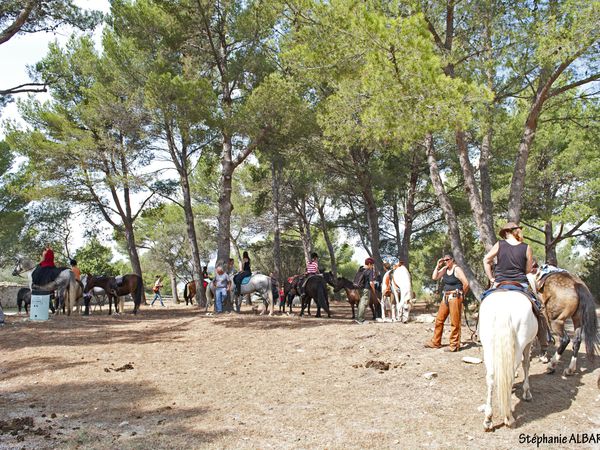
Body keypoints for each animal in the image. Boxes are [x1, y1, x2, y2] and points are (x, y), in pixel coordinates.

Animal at [480, 290, 536, 430]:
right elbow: (526, 364)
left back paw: (488, 419)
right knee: (509, 376)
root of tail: (503, 307)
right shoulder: (529, 343)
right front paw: (527, 392)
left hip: (488, 347)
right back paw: (509, 417)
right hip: (519, 345)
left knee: (490, 378)